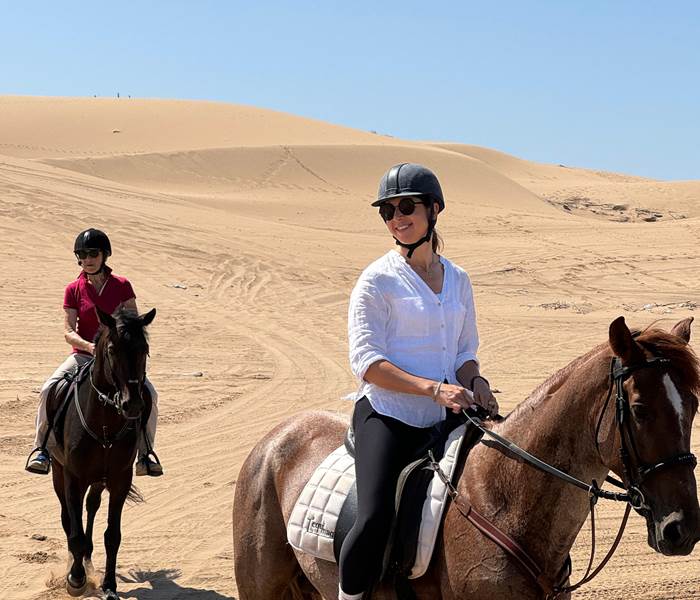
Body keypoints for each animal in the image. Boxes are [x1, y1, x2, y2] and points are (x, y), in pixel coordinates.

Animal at [47, 306, 156, 599]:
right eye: (111, 350)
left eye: (144, 349)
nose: (133, 405)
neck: (105, 421)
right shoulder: (73, 478)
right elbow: (74, 532)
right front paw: (75, 579)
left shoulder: (120, 480)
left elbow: (112, 536)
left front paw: (109, 585)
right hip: (60, 473)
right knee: (68, 517)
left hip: (98, 480)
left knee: (92, 506)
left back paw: (87, 557)